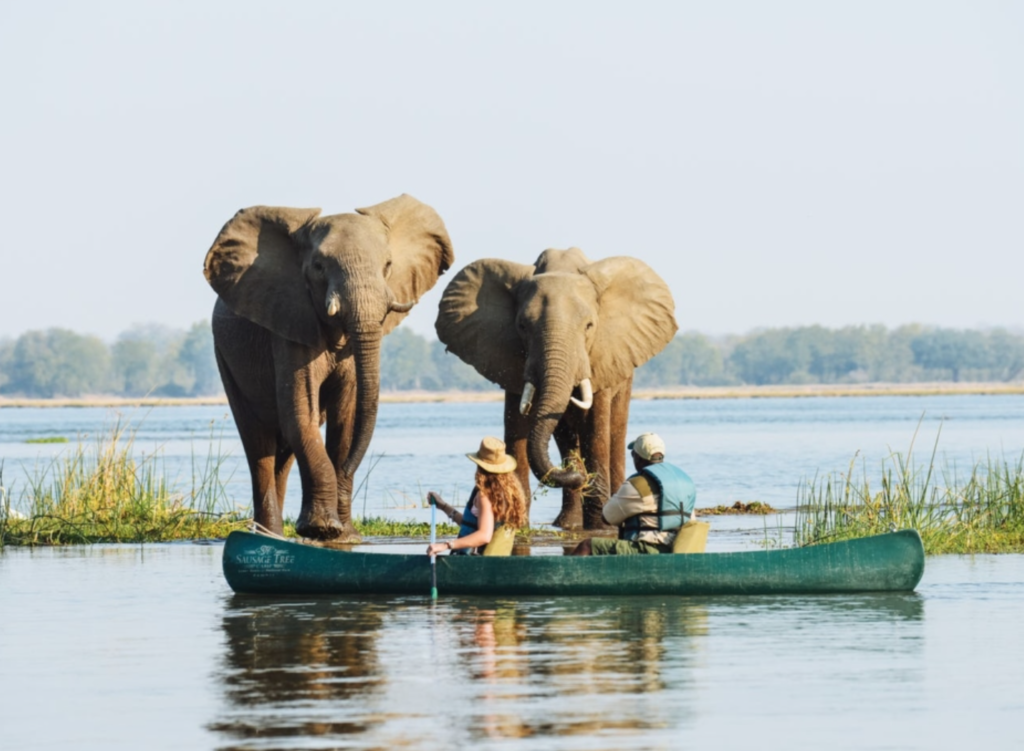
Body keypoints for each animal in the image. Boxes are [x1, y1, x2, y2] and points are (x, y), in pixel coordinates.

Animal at [203, 193, 452, 540]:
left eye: (388, 266)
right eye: (319, 267)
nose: (344, 476)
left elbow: (345, 418)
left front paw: (344, 535)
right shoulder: (289, 324)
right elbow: (300, 414)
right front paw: (323, 529)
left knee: (283, 449)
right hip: (226, 358)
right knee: (259, 441)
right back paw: (269, 534)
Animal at [436, 245, 675, 528]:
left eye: (589, 326)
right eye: (522, 326)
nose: (577, 476)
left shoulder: (602, 356)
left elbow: (596, 427)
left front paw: (600, 526)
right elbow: (516, 425)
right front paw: (517, 523)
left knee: (615, 429)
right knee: (565, 435)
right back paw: (567, 523)